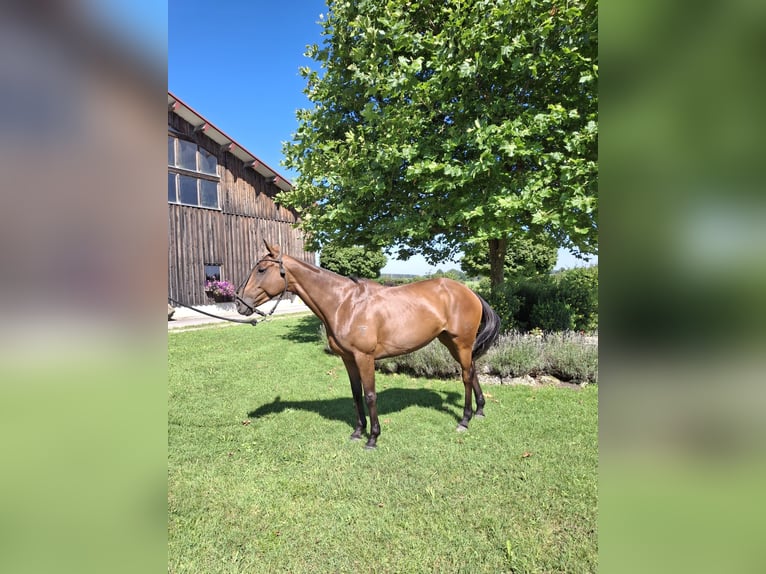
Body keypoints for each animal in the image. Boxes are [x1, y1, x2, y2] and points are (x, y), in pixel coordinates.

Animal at [235, 241, 501, 449]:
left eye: (261, 269)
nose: (239, 303)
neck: (344, 304)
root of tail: (469, 291)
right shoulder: (348, 358)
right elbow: (356, 394)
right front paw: (357, 431)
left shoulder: (365, 357)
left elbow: (370, 394)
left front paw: (372, 438)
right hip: (451, 342)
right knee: (472, 371)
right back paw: (479, 411)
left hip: (461, 343)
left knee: (466, 376)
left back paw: (464, 420)